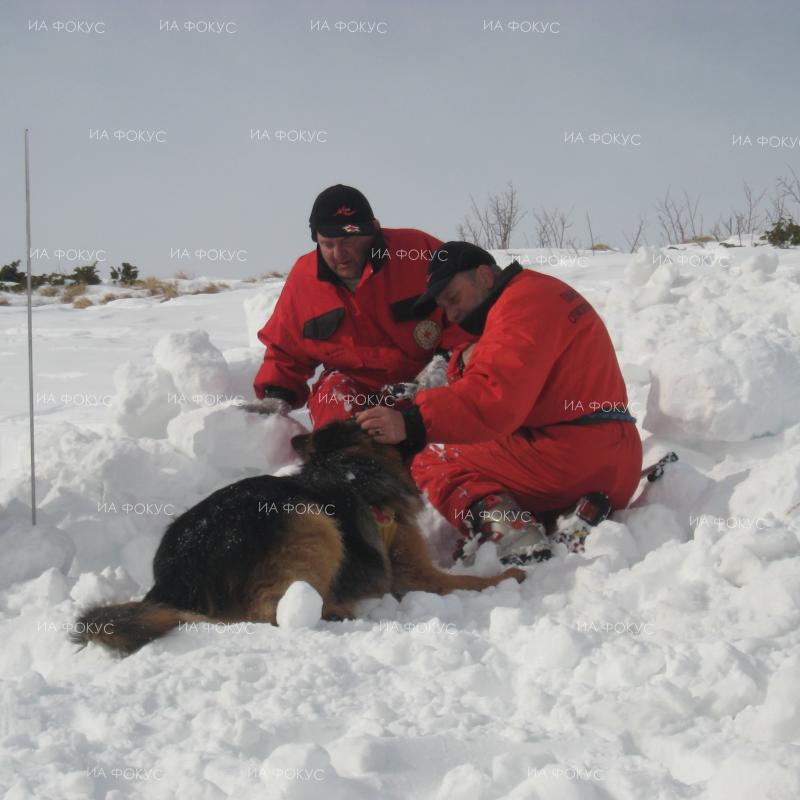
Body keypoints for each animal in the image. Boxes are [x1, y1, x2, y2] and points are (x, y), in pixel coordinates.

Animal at [73, 418, 524, 656]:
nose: (417, 417)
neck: (351, 466)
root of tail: (174, 576)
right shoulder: (414, 573)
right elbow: (469, 582)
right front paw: (506, 577)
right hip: (312, 521)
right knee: (269, 608)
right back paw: (334, 611)